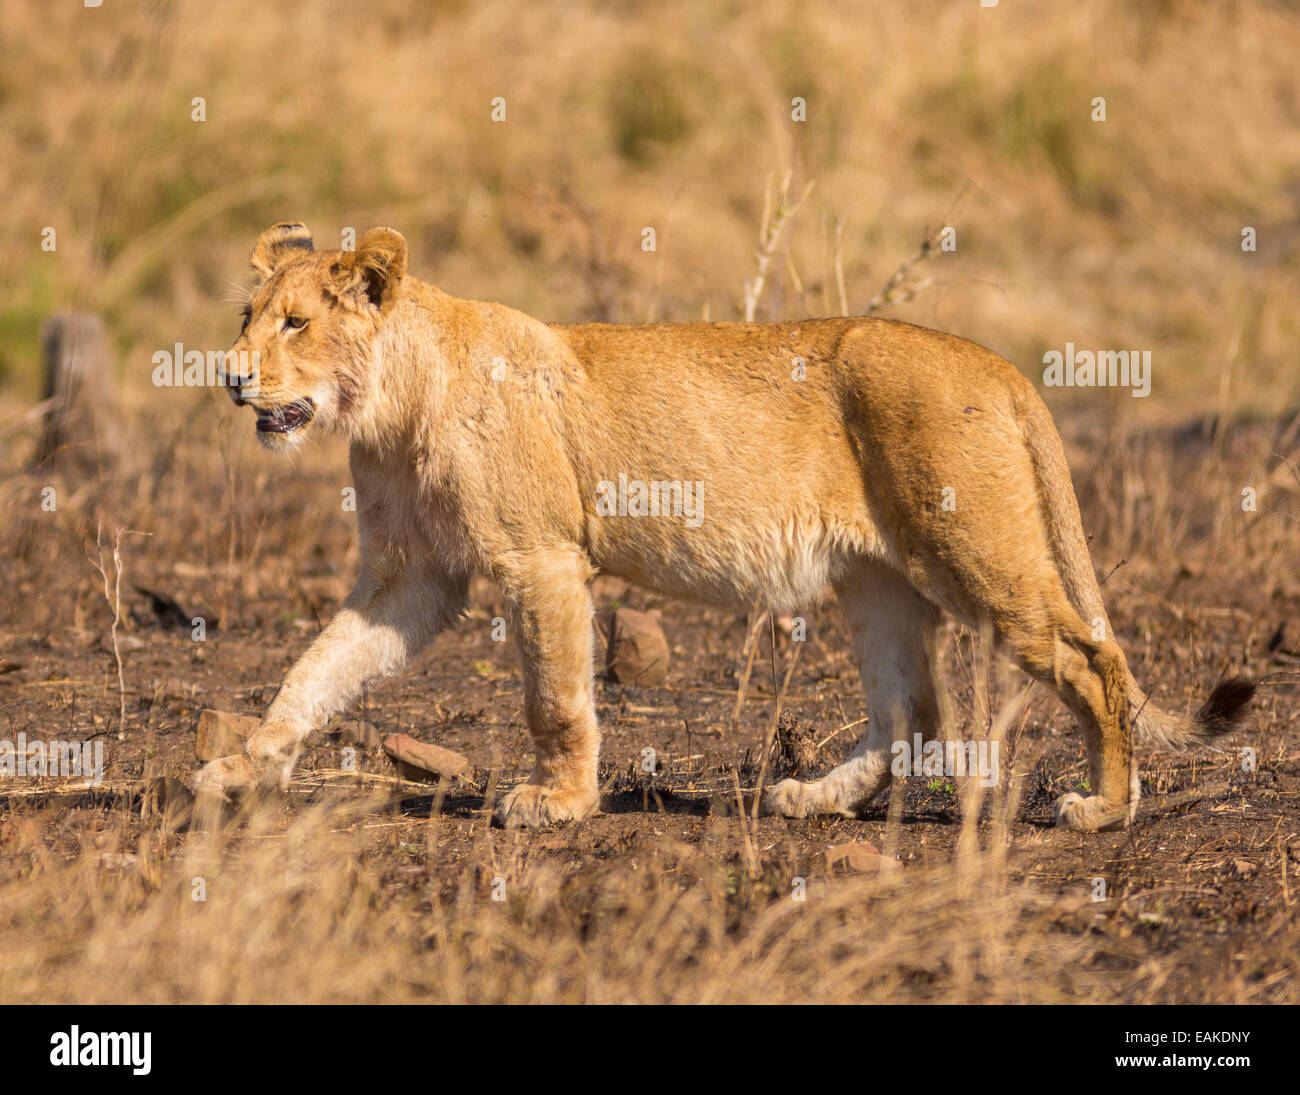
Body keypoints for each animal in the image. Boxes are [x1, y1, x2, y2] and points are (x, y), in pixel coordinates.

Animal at [194, 222, 1255, 830]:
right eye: (247, 314)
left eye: (295, 323)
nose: (233, 377)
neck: (387, 403)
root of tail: (997, 365)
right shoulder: (409, 576)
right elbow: (316, 668)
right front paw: (248, 765)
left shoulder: (539, 557)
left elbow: (553, 699)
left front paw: (559, 805)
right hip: (877, 578)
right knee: (912, 711)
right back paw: (808, 798)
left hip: (975, 554)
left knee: (1093, 660)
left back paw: (1104, 808)